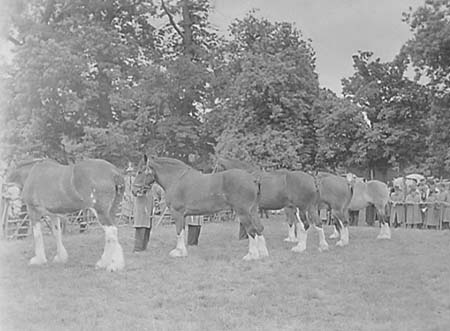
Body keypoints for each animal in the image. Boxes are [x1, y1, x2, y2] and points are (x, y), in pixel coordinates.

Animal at [132, 156, 268, 262]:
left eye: (140, 172)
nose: (134, 191)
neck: (176, 179)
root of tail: (252, 179)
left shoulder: (177, 213)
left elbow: (179, 231)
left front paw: (179, 252)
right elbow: (182, 230)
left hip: (243, 212)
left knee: (251, 230)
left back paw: (251, 256)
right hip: (253, 211)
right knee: (259, 228)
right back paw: (263, 254)